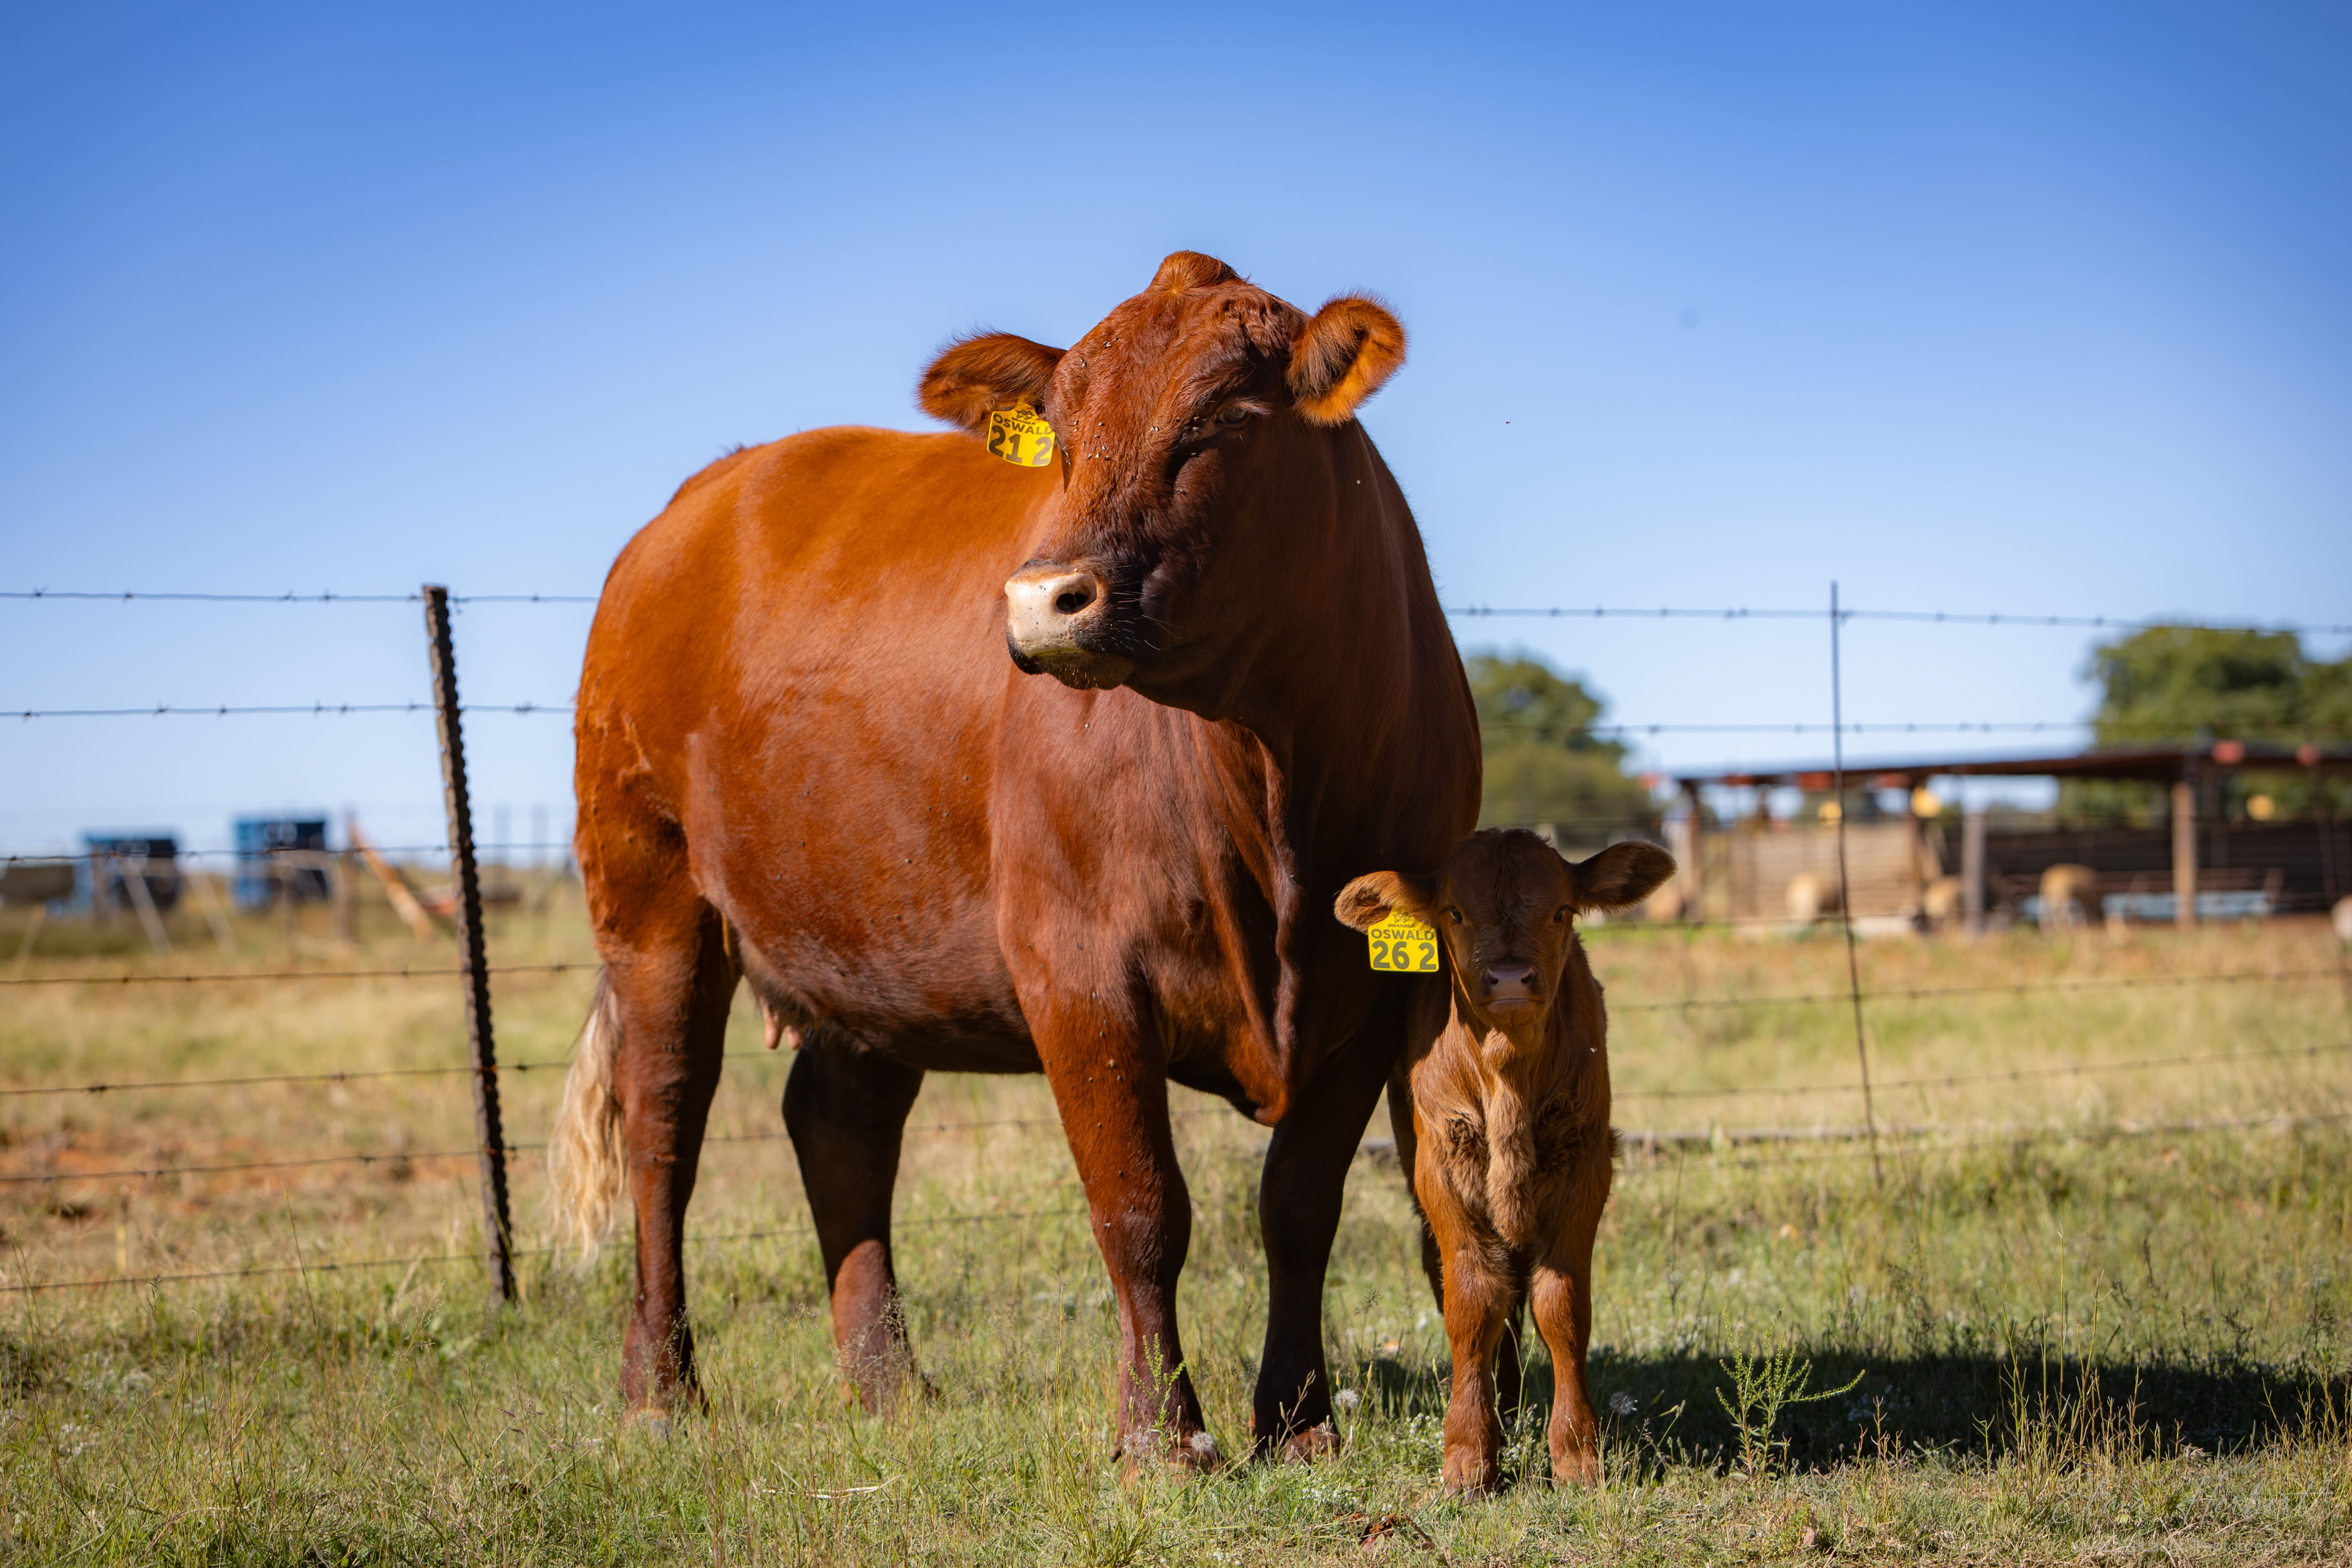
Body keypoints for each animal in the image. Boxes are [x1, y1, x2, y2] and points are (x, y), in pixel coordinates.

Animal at [547, 251, 1482, 1469]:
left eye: (1223, 420)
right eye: (1067, 437)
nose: (1045, 598)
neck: (1277, 779)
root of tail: (700, 496)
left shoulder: (1368, 992)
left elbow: (1299, 1206)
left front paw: (1298, 1421)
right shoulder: (1076, 969)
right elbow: (1141, 1208)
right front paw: (1160, 1437)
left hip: (872, 931)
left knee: (838, 1125)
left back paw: (889, 1386)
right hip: (650, 893)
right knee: (664, 1125)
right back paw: (659, 1389)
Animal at [1335, 829, 1675, 1494]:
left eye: (1562, 912)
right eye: (1454, 913)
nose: (1512, 976)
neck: (1507, 1078)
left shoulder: (1587, 1165)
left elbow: (1561, 1305)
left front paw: (1575, 1453)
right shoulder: (1441, 1172)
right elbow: (1472, 1301)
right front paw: (1470, 1454)